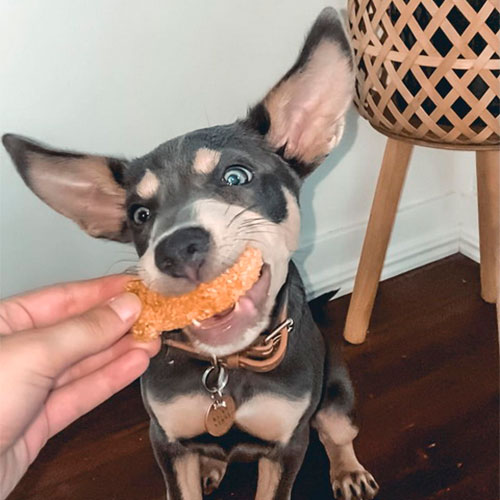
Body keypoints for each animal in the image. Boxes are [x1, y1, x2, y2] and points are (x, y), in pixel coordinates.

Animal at [3, 8, 379, 499]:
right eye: (140, 214)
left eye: (236, 176)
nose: (178, 249)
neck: (227, 367)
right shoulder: (166, 438)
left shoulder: (287, 443)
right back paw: (212, 466)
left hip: (335, 396)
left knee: (338, 433)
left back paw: (348, 471)